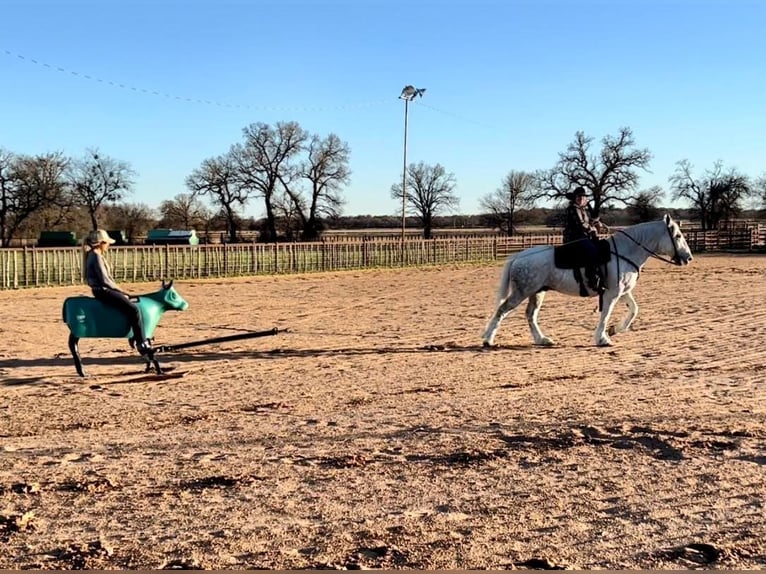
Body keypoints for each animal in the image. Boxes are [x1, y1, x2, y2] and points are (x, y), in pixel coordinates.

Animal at [486, 216, 696, 348]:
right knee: (502, 310)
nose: (688, 258)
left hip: (537, 292)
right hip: (521, 292)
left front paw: (614, 330)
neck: (624, 250)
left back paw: (542, 339)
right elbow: (605, 314)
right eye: (678, 236)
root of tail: (518, 256)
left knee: (530, 315)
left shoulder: (623, 292)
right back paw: (487, 340)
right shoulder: (611, 294)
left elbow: (634, 310)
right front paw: (602, 338)